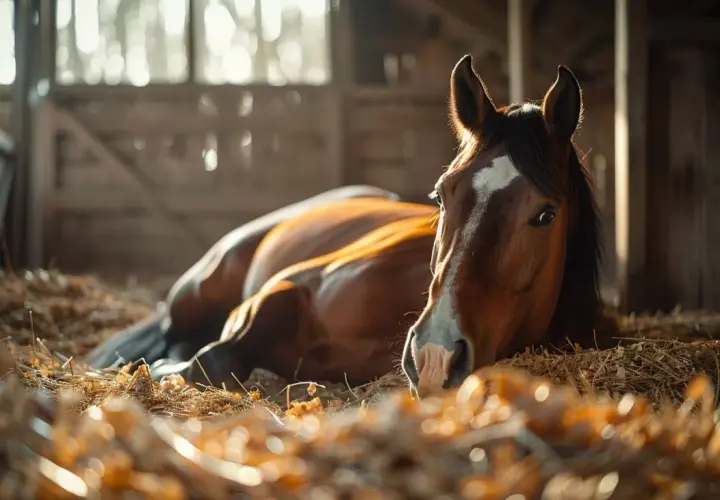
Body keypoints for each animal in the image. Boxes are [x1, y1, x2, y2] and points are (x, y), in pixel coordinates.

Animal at [84, 54, 609, 395]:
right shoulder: (277, 291)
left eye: (545, 214)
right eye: (441, 196)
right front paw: (155, 369)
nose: (435, 355)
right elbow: (210, 360)